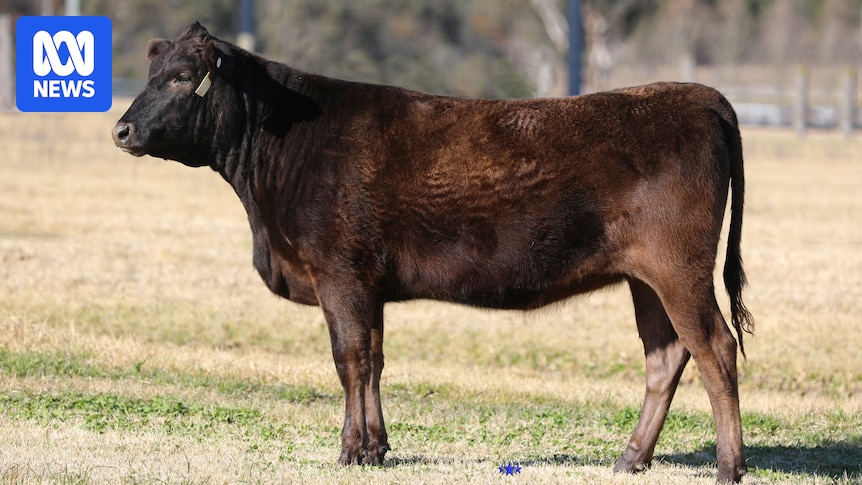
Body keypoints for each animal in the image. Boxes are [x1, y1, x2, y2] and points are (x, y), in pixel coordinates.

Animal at [112, 23, 754, 483]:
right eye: (151, 71)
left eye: (182, 76)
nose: (121, 131)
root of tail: (700, 96)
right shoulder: (367, 284)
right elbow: (373, 360)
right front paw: (375, 448)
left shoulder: (339, 273)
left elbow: (349, 360)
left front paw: (349, 451)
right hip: (644, 279)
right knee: (666, 356)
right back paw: (630, 458)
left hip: (678, 268)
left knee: (715, 348)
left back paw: (729, 468)